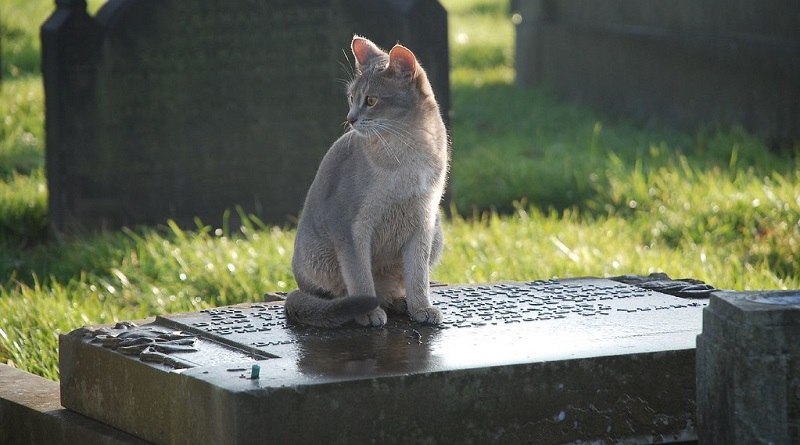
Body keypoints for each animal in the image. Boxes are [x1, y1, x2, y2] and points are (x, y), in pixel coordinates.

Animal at [284, 36, 450, 328]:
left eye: (371, 100)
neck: (408, 152)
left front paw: (421, 308)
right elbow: (360, 276)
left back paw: (398, 301)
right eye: (352, 98)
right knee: (338, 294)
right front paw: (369, 312)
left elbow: (418, 276)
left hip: (437, 231)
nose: (350, 118)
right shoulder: (350, 226)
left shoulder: (423, 221)